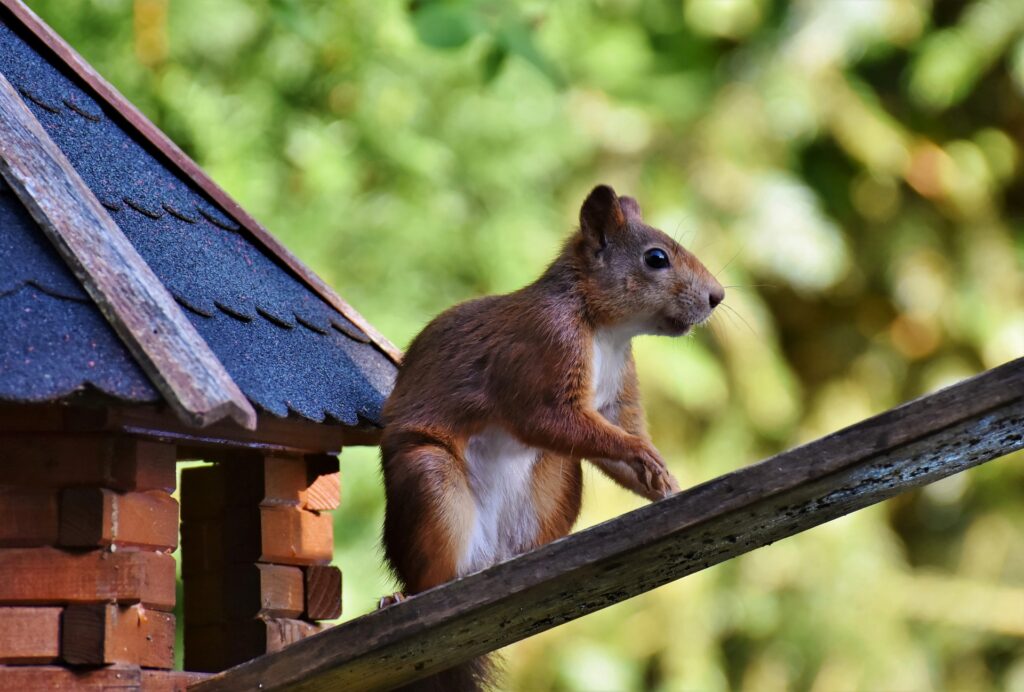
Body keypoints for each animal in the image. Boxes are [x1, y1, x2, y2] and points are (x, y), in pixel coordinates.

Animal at [380, 185, 724, 692]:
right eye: (656, 258)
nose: (718, 296)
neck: (605, 329)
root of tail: (486, 559)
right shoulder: (544, 348)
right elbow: (546, 419)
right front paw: (642, 454)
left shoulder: (617, 394)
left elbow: (617, 439)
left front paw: (664, 482)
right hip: (430, 478)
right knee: (434, 573)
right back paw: (405, 597)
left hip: (555, 482)